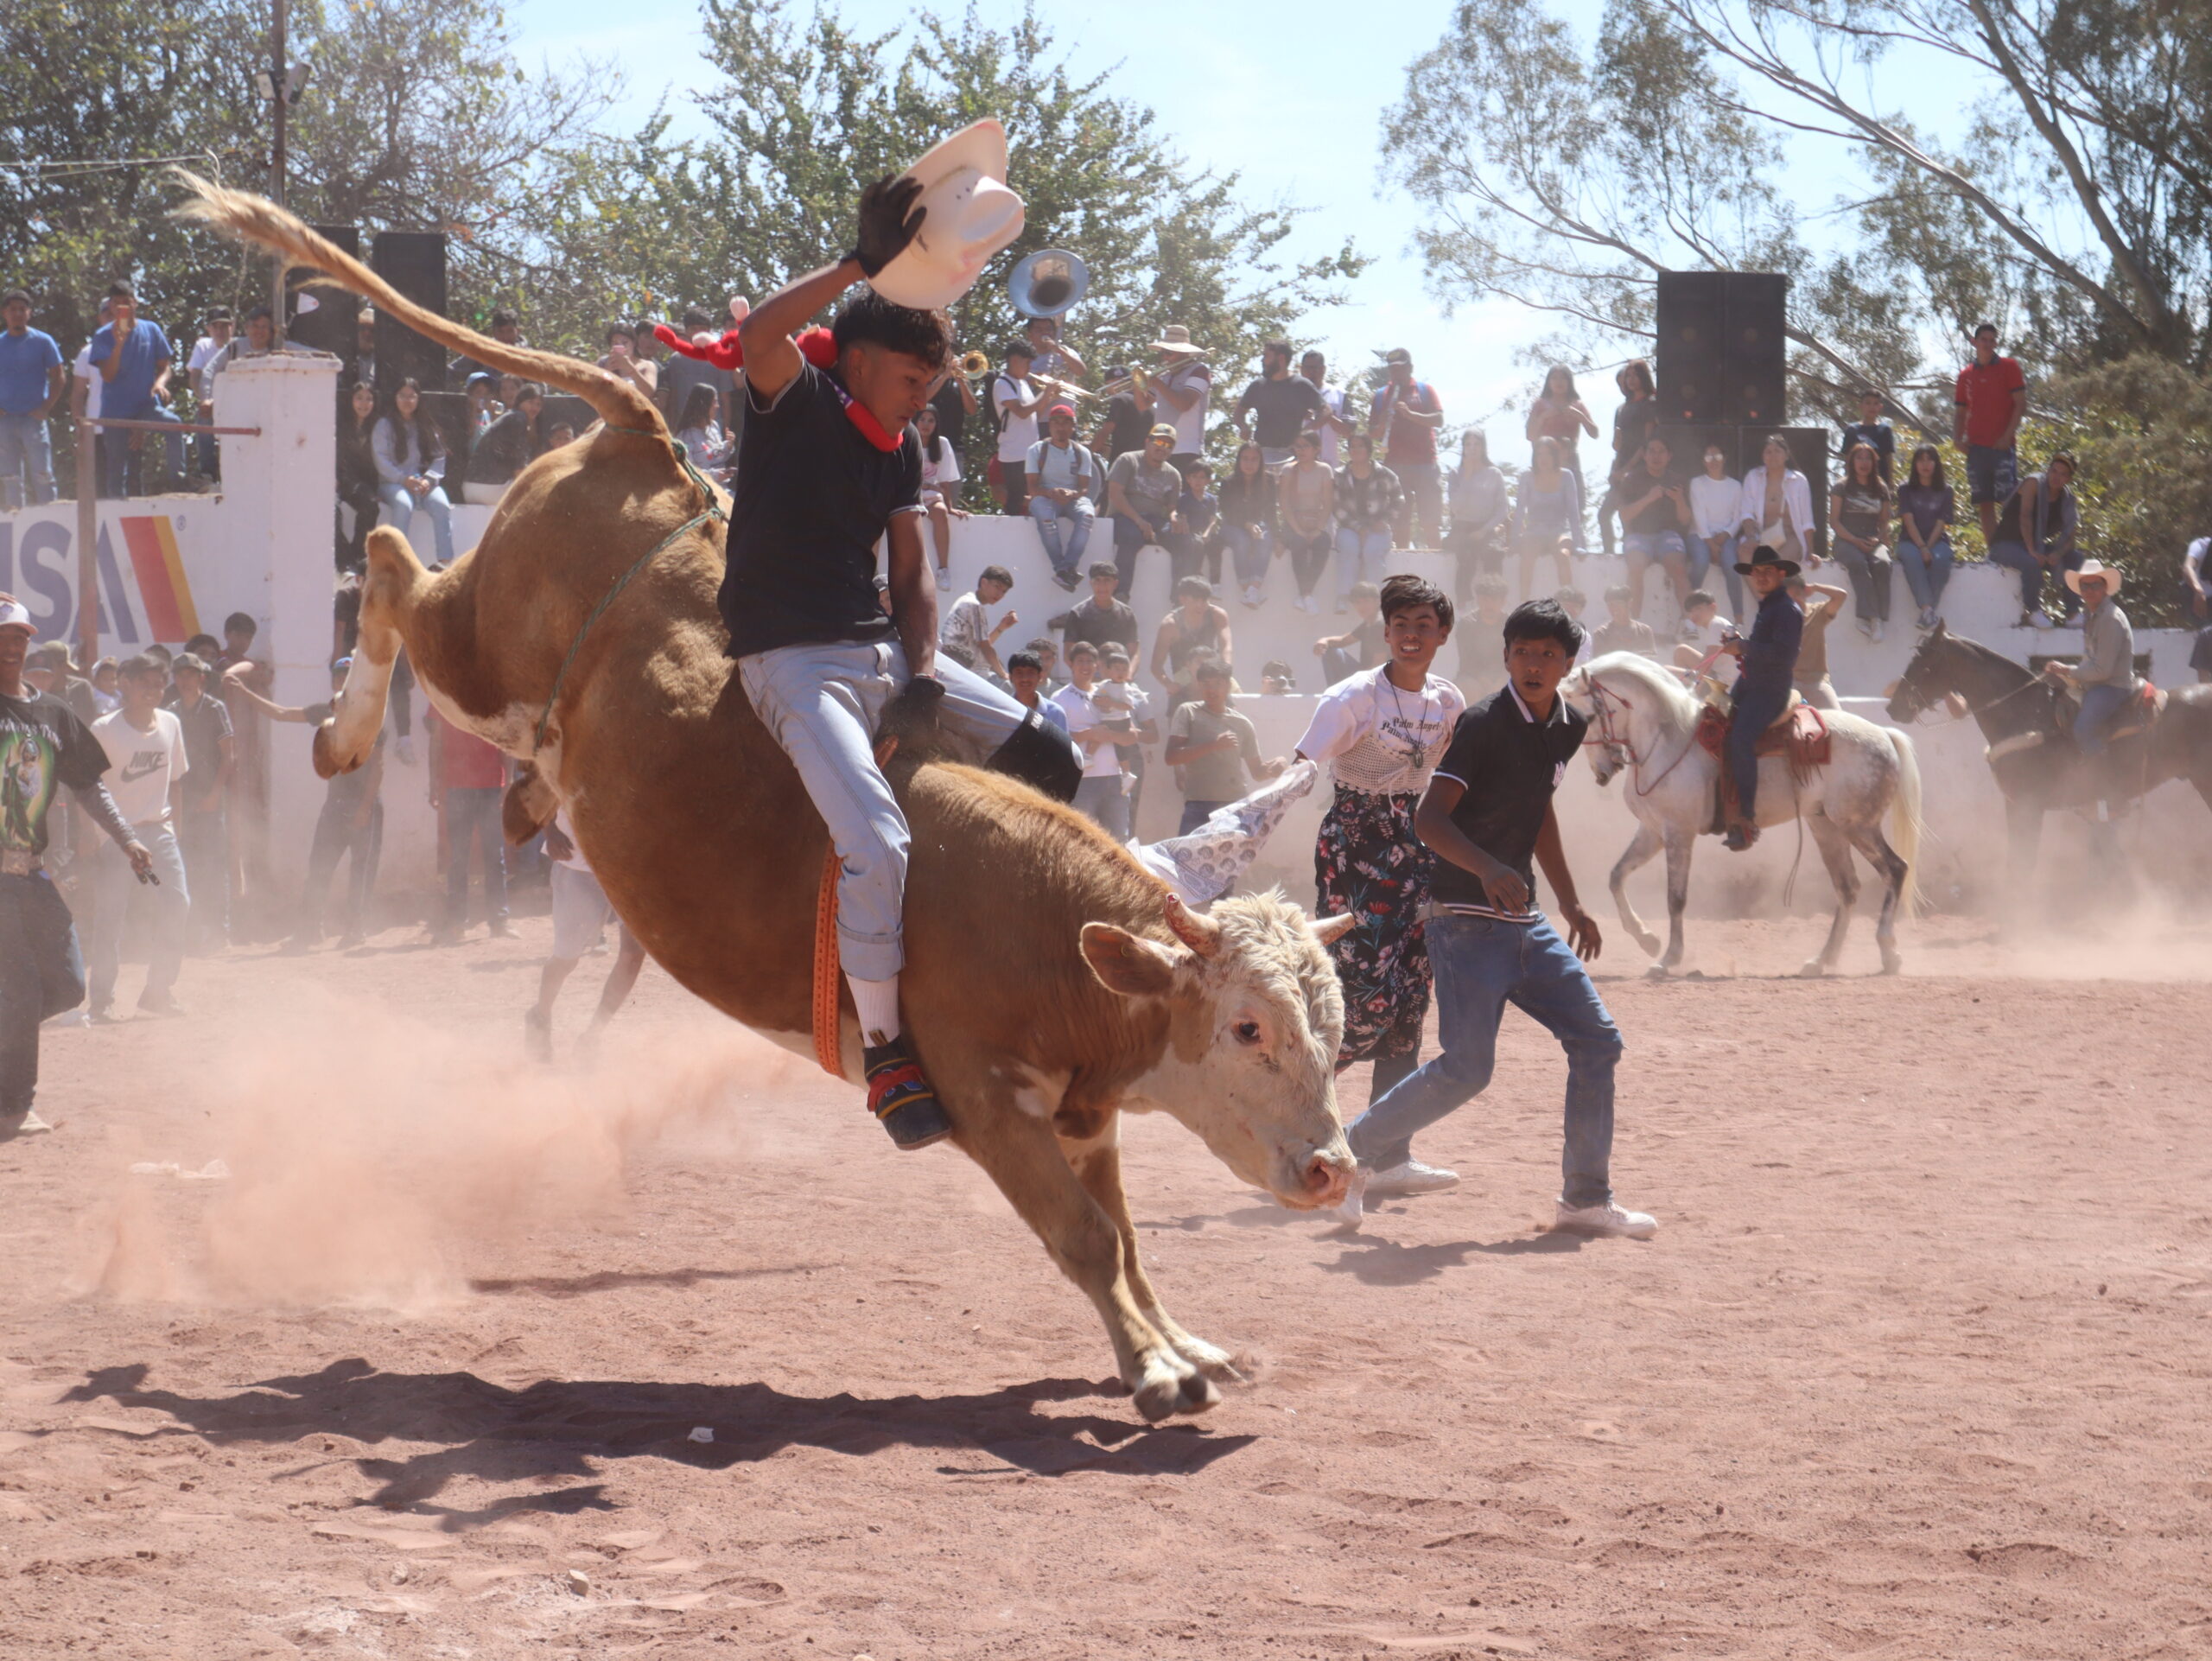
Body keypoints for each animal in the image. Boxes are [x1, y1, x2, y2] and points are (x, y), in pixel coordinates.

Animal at [186, 179, 1362, 1433]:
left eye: (1336, 1024)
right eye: (1247, 1027)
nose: (1333, 1168)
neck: (1046, 925)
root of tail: (648, 439)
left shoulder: (1079, 1115)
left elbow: (1131, 1239)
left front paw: (1185, 1340)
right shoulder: (990, 1103)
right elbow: (1089, 1239)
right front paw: (1154, 1371)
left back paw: (517, 800)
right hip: (474, 652)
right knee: (390, 557)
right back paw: (341, 734)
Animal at [1557, 654, 1937, 982]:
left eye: (1587, 717)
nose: (1604, 770)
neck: (1667, 739)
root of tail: (1884, 734)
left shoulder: (1679, 833)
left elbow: (1675, 898)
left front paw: (1668, 959)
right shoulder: (1653, 831)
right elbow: (1616, 876)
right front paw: (1648, 940)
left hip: (1858, 825)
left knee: (1895, 870)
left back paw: (1888, 952)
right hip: (1825, 826)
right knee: (1848, 888)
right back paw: (1820, 961)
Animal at [1875, 619, 2212, 888]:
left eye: (1924, 661)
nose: (1894, 706)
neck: (2026, 714)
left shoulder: (2030, 805)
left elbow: (2025, 862)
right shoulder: (2014, 804)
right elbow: (2017, 861)